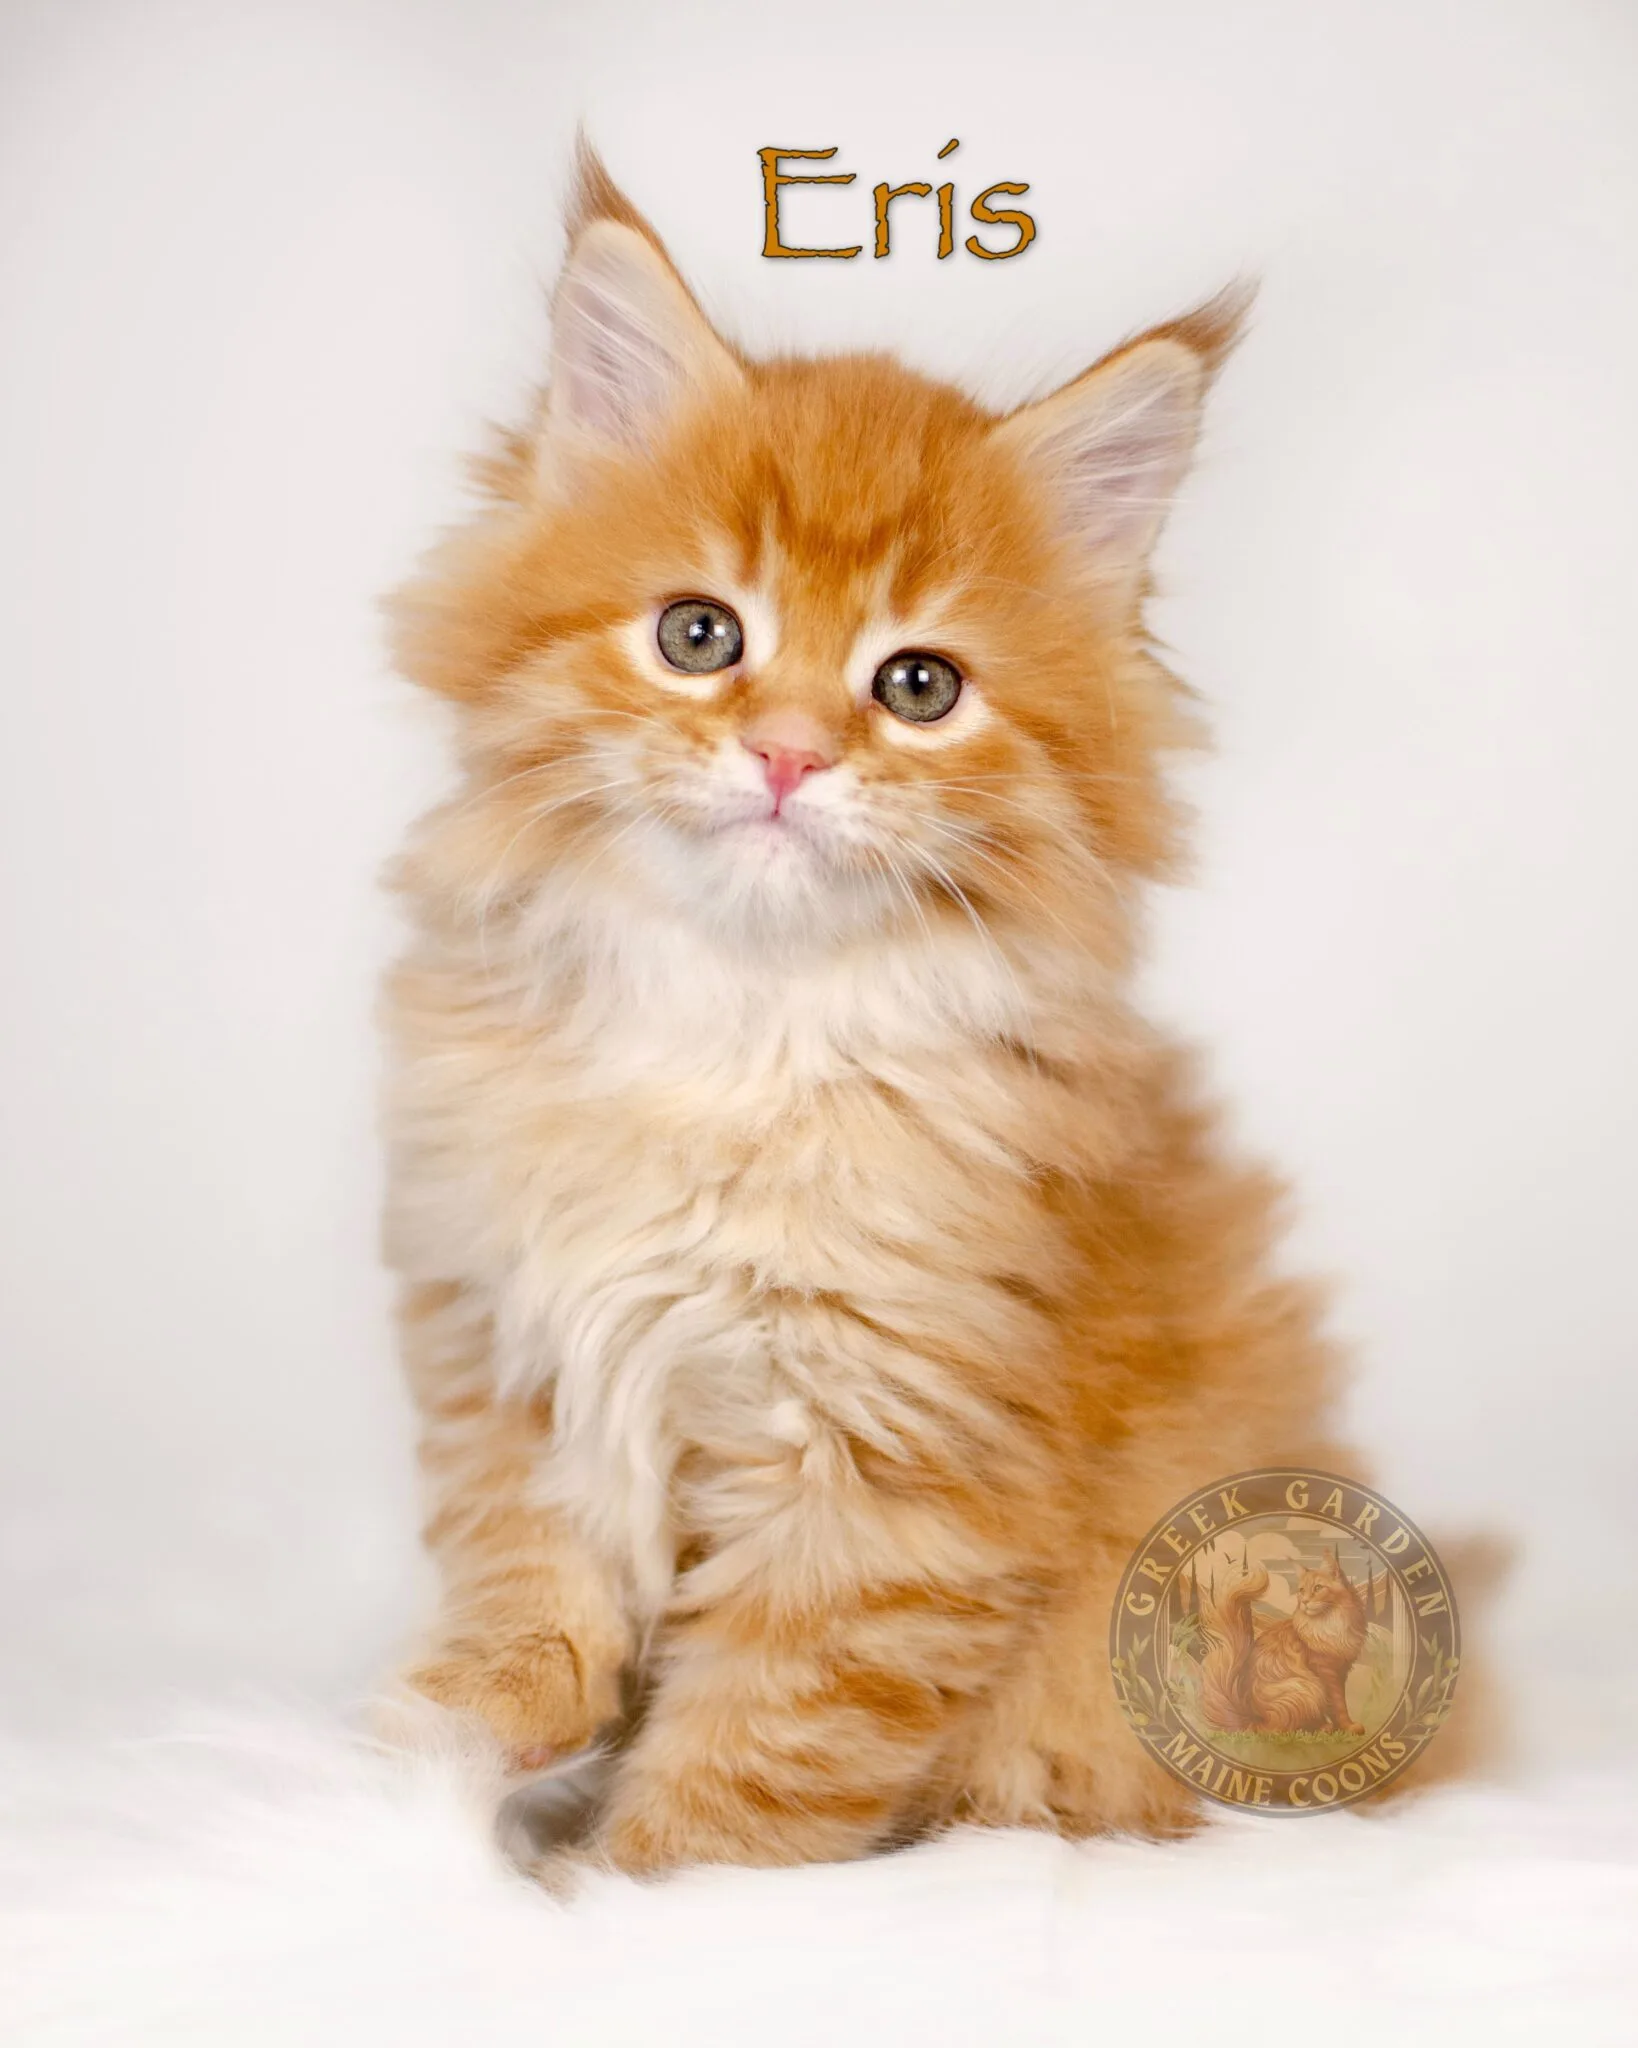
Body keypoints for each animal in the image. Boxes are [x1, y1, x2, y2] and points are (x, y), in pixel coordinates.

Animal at [380, 144, 1359, 1875]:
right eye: (699, 635)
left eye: (917, 686)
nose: (784, 754)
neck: (733, 1023)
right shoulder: (510, 1341)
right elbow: (522, 1575)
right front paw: (469, 1738)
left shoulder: (900, 1463)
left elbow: (752, 1759)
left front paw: (613, 1889)